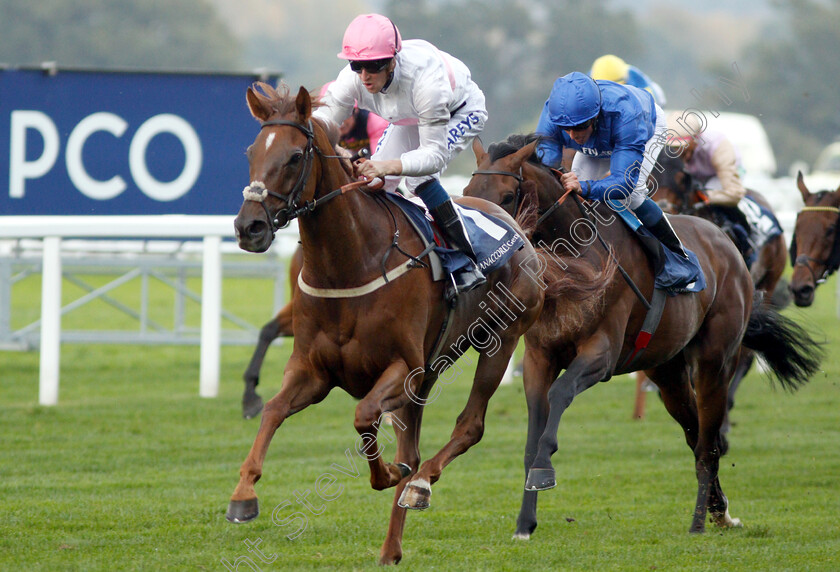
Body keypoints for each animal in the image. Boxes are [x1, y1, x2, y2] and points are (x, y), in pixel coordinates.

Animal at [223, 82, 544, 564]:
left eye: (296, 156)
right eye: (250, 152)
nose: (249, 227)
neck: (350, 262)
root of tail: (513, 224)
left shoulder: (404, 368)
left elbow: (363, 417)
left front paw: (391, 473)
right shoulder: (313, 371)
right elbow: (274, 411)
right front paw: (243, 494)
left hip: (499, 340)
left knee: (469, 425)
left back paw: (419, 484)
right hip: (432, 372)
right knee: (414, 440)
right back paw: (392, 546)